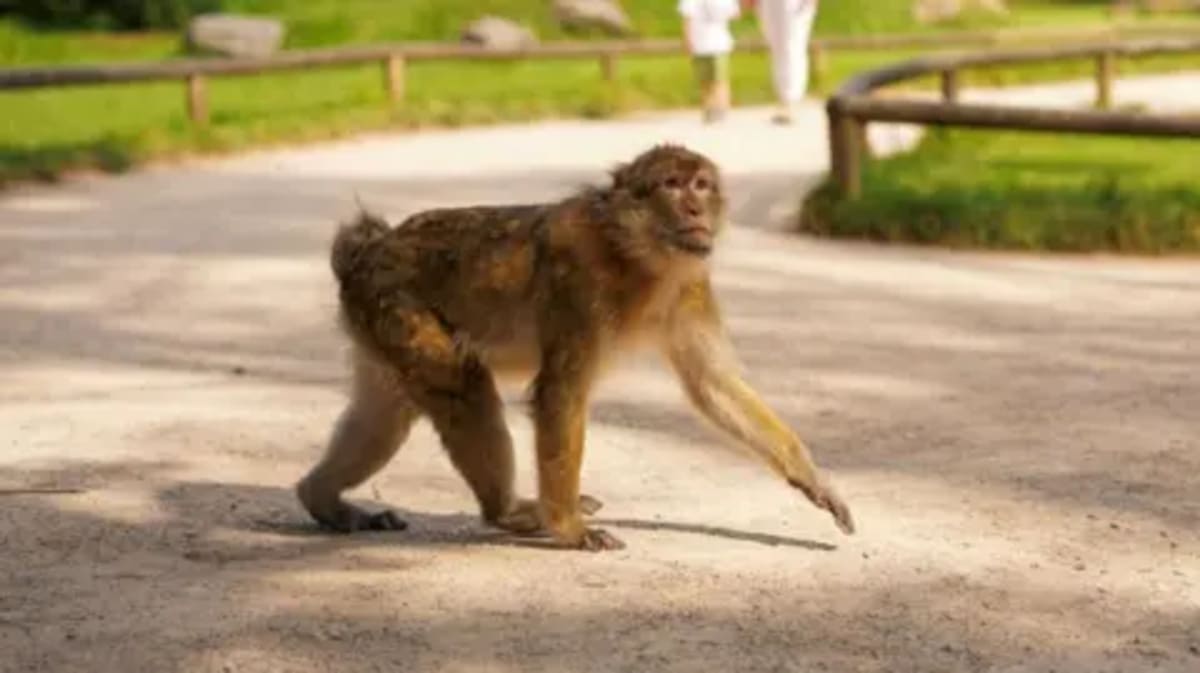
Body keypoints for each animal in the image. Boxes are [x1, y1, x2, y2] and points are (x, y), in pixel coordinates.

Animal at [296, 143, 854, 551]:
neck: (638, 257)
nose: (696, 207)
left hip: (377, 325)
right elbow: (560, 393)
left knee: (386, 413)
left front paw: (812, 477)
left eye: (700, 184)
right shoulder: (582, 287)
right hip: (394, 306)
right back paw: (510, 512)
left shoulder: (690, 286)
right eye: (671, 186)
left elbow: (713, 385)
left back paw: (320, 498)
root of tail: (367, 252)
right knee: (462, 384)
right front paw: (566, 528)